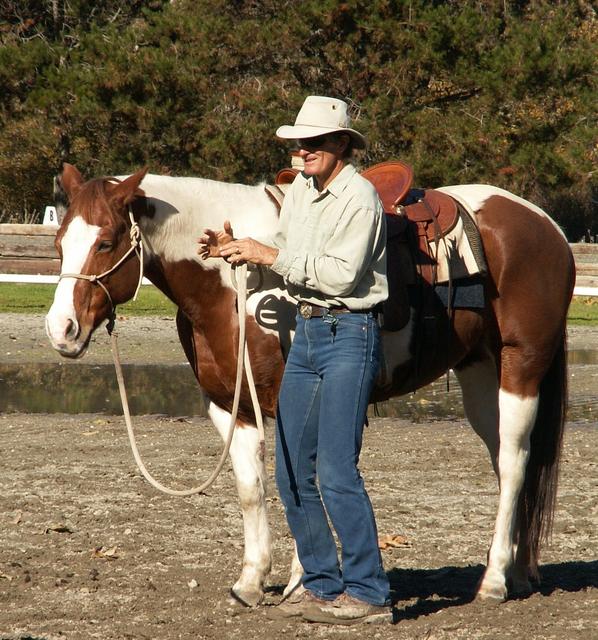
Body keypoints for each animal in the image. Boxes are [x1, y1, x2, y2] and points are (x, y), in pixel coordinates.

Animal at [45, 162, 575, 608]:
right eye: (60, 243)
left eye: (107, 242)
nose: (61, 329)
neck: (233, 289)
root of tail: (546, 226)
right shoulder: (229, 406)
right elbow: (251, 489)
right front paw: (251, 582)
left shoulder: (296, 398)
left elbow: (300, 478)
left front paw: (303, 582)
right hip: (480, 373)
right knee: (509, 464)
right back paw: (518, 573)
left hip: (520, 368)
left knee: (514, 461)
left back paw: (493, 582)